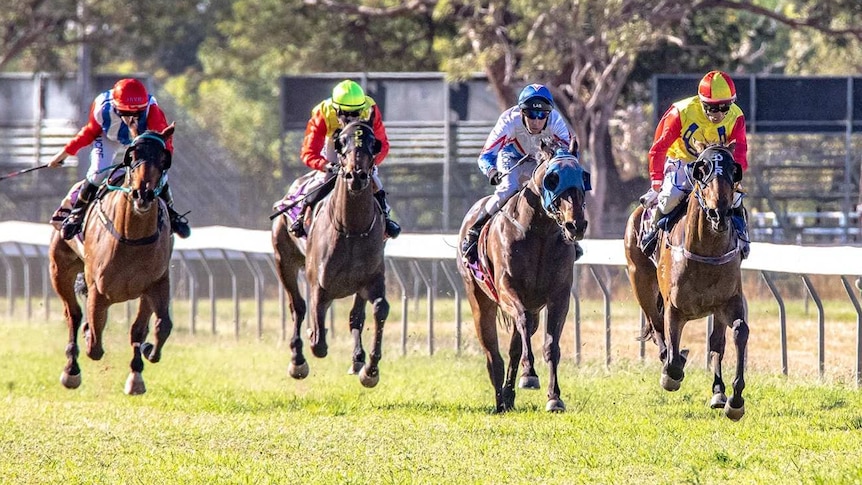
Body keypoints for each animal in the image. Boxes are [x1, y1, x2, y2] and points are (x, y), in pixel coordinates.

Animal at [48, 124, 176, 394]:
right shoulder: (98, 289)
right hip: (59, 269)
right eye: (132, 157)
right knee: (73, 314)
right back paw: (71, 369)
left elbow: (156, 327)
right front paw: (87, 339)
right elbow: (95, 344)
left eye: (163, 159)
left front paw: (141, 366)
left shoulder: (156, 283)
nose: (143, 194)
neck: (132, 238)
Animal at [274, 120, 388, 386]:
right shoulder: (319, 285)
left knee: (355, 315)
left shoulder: (371, 279)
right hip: (283, 260)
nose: (356, 175)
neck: (352, 230)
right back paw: (297, 360)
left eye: (373, 143)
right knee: (298, 307)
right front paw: (310, 341)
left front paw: (370, 369)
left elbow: (378, 309)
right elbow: (318, 342)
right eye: (341, 143)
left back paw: (357, 359)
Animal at [460, 141, 588, 412]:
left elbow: (550, 345)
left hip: (534, 307)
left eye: (583, 176)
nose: (576, 225)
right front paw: (529, 375)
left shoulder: (558, 295)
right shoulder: (507, 288)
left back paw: (508, 395)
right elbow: (521, 322)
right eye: (553, 179)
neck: (540, 232)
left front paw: (554, 397)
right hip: (478, 299)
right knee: (493, 353)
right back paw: (500, 399)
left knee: (515, 347)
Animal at [628, 141, 748, 420]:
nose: (719, 212)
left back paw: (718, 393)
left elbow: (739, 332)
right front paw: (672, 373)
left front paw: (735, 400)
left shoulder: (728, 301)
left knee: (716, 343)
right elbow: (672, 359)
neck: (706, 251)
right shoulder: (675, 308)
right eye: (701, 171)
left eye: (733, 170)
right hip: (640, 282)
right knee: (657, 326)